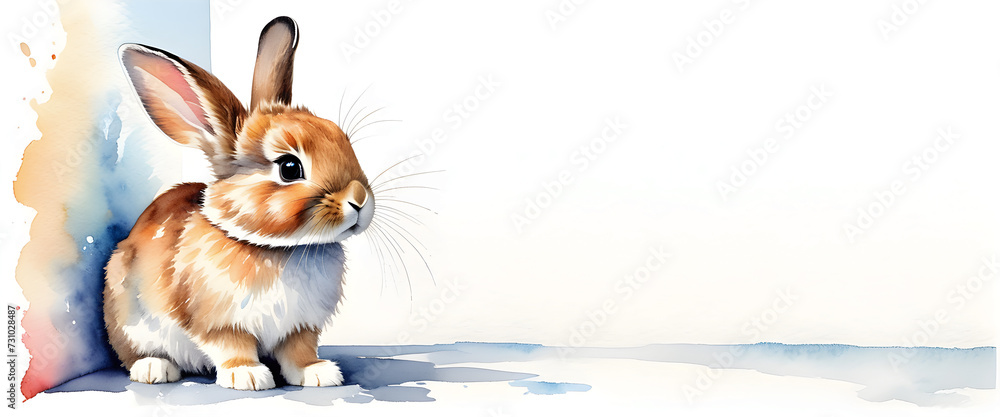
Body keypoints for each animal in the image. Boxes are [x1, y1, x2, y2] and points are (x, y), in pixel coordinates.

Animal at [104, 16, 374, 390]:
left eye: (342, 139)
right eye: (289, 168)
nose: (359, 199)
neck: (280, 249)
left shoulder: (301, 327)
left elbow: (299, 351)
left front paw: (318, 373)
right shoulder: (217, 321)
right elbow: (232, 345)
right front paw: (246, 375)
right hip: (126, 316)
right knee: (133, 354)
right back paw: (154, 369)